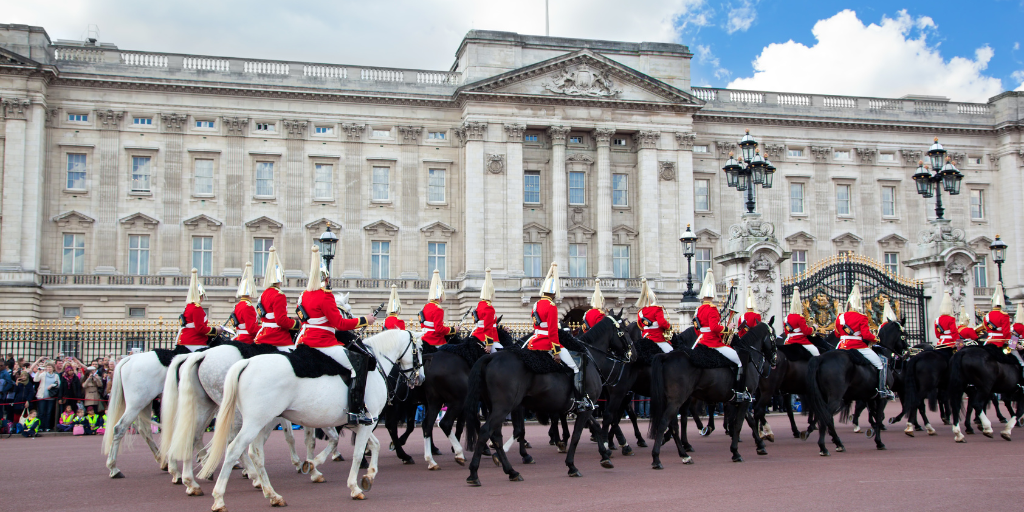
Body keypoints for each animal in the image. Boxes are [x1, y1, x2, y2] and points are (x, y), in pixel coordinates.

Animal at [195, 327, 423, 507]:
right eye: (420, 349)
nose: (420, 378)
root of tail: (247, 363)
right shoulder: (368, 421)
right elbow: (358, 453)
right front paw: (354, 486)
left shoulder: (360, 421)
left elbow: (372, 445)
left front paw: (367, 476)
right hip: (254, 422)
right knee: (233, 448)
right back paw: (219, 497)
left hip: (261, 422)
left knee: (255, 453)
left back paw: (272, 494)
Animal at [460, 313, 626, 485]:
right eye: (624, 329)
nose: (631, 353)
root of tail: (491, 357)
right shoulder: (584, 407)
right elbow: (576, 435)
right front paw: (571, 465)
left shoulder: (583, 406)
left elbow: (595, 426)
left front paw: (604, 455)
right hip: (503, 407)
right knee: (486, 431)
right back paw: (474, 473)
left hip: (496, 407)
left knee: (495, 434)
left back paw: (511, 471)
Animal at [647, 323, 774, 468]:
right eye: (773, 337)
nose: (774, 360)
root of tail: (666, 356)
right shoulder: (745, 400)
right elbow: (738, 424)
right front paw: (736, 452)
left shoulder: (739, 399)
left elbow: (750, 421)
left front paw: (760, 445)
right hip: (677, 400)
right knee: (664, 422)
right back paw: (657, 458)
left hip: (673, 400)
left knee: (674, 425)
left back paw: (684, 455)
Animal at [802, 319, 909, 456]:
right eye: (904, 334)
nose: (906, 352)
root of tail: (820, 358)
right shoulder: (881, 398)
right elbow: (878, 416)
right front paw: (879, 441)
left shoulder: (869, 397)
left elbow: (873, 415)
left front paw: (872, 432)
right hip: (835, 398)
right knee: (825, 416)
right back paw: (824, 447)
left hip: (823, 397)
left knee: (824, 416)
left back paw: (836, 442)